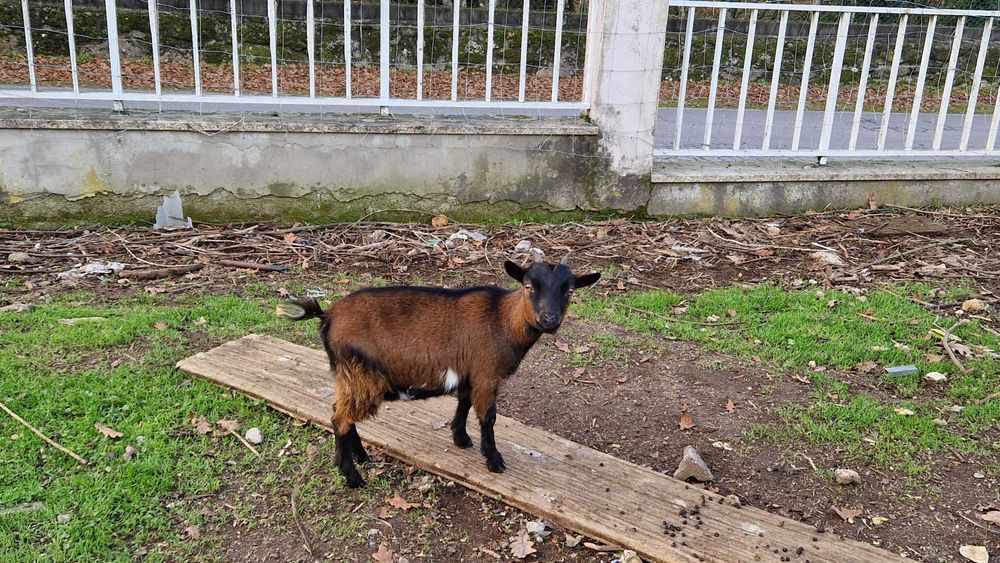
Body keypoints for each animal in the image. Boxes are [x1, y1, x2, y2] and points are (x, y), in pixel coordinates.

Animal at [278, 254, 600, 487]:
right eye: (529, 286)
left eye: (570, 290)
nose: (549, 319)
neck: (502, 319)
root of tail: (328, 315)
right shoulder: (486, 374)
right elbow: (488, 417)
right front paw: (494, 460)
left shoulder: (469, 372)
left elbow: (464, 402)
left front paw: (461, 438)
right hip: (361, 374)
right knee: (340, 419)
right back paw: (353, 477)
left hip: (348, 376)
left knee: (340, 411)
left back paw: (361, 456)